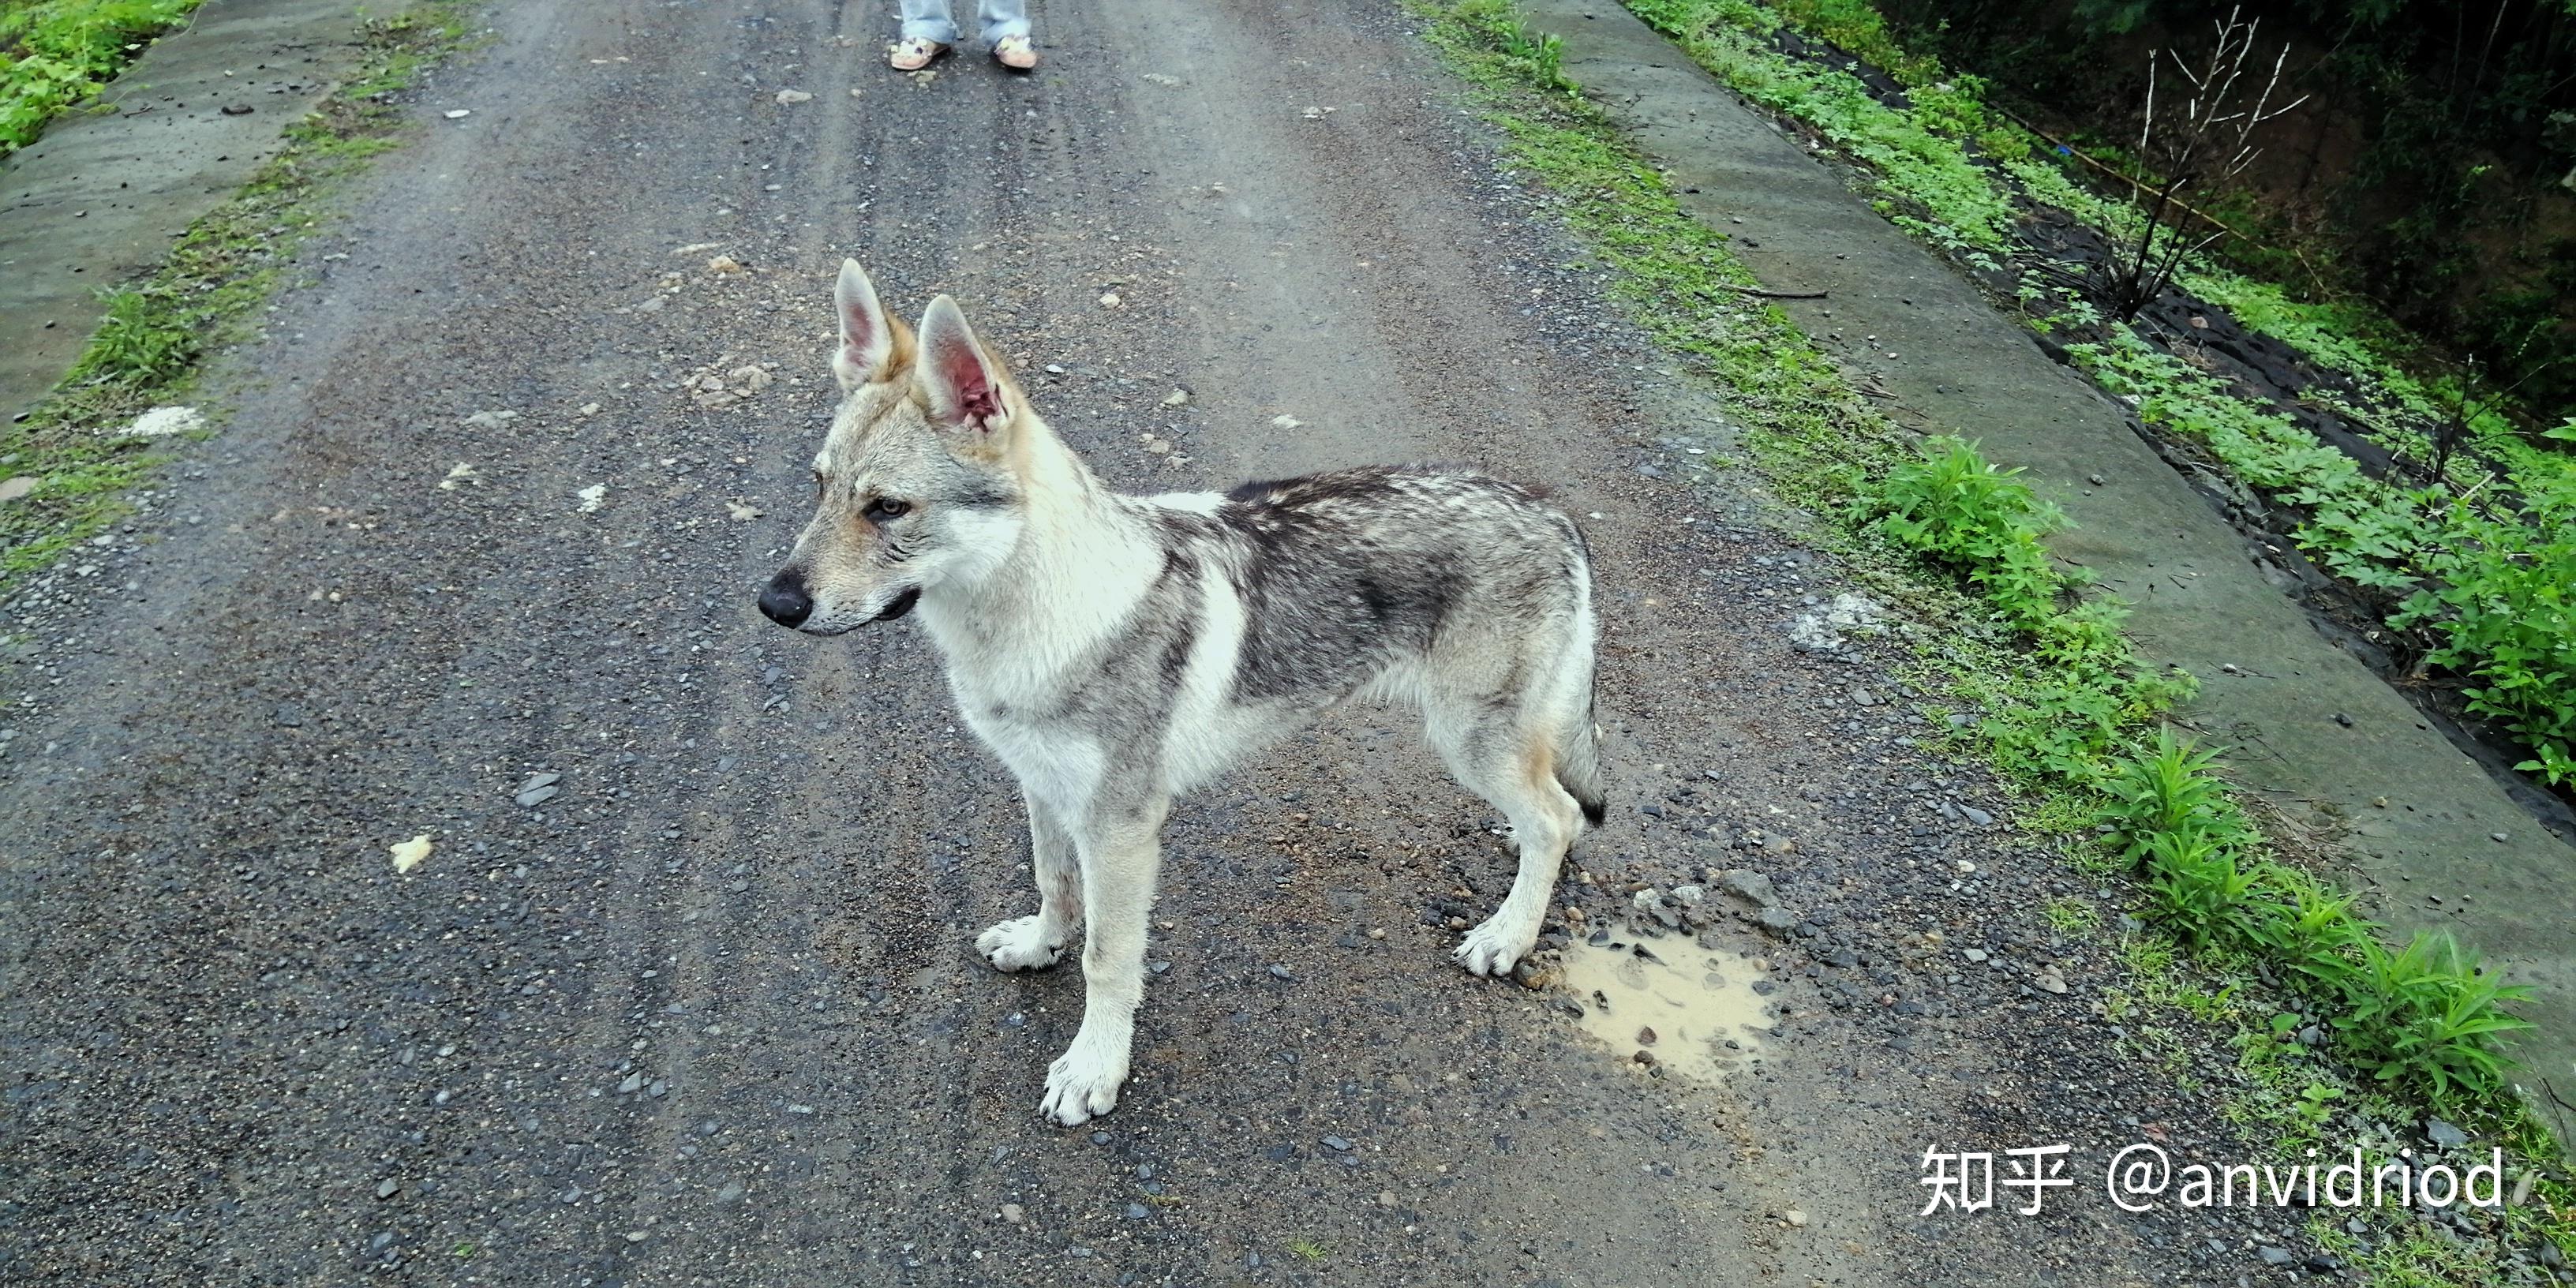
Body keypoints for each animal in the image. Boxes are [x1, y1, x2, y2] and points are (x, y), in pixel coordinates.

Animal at [752, 261, 1597, 1128]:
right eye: (820, 488)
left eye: (888, 508)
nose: (773, 604)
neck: (1032, 621)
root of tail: (1550, 511)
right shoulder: (1044, 789)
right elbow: (1054, 886)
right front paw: (1039, 946)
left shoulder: (1122, 829)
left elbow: (1106, 960)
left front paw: (1093, 1069)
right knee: (1549, 810)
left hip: (1467, 741)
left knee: (1560, 819)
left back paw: (1508, 934)